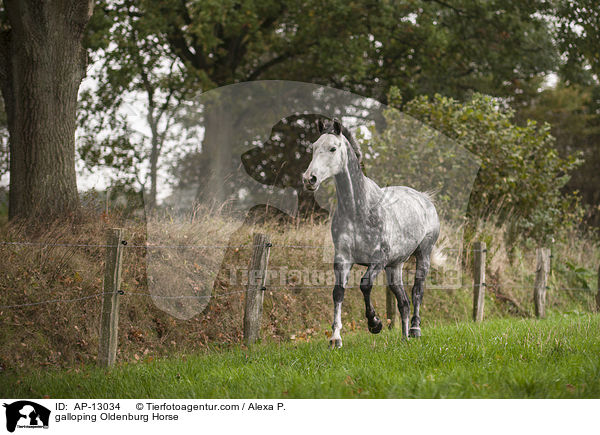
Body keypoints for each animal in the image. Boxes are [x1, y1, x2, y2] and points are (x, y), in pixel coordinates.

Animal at [302, 118, 442, 348]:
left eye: (332, 148)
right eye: (313, 148)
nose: (309, 179)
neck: (358, 210)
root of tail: (424, 198)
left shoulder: (378, 260)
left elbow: (365, 285)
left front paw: (375, 323)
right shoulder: (343, 259)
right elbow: (338, 292)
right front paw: (335, 338)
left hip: (423, 255)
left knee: (417, 292)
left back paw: (415, 330)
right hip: (395, 266)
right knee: (403, 302)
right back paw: (403, 338)